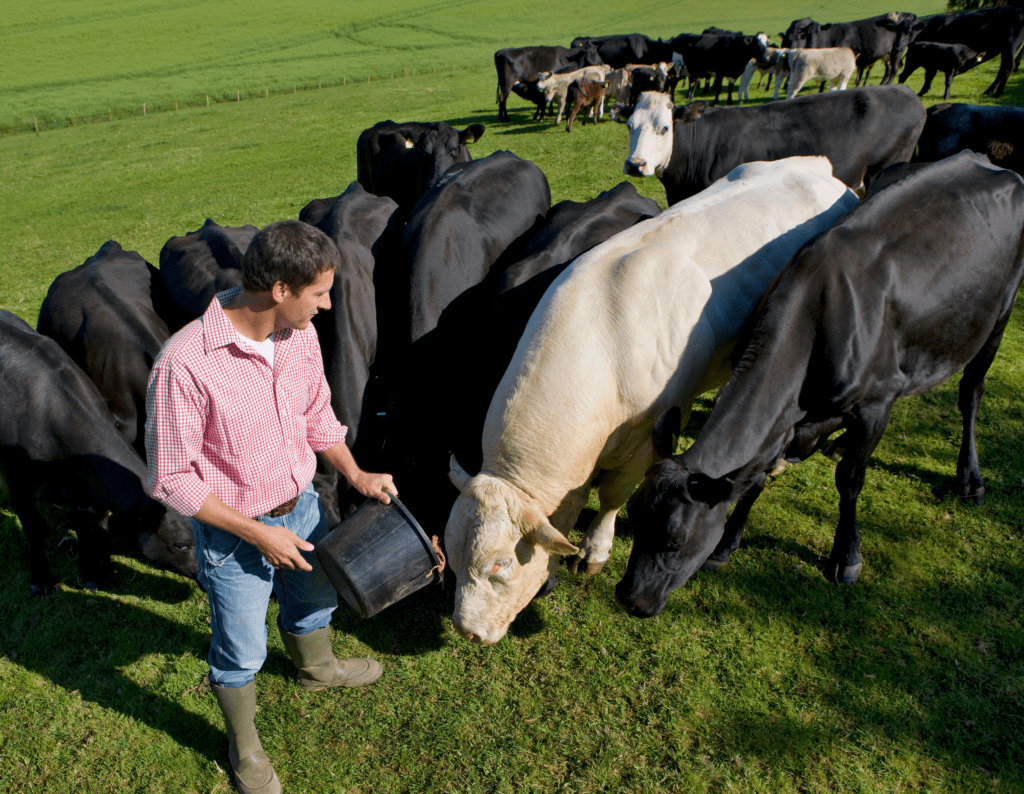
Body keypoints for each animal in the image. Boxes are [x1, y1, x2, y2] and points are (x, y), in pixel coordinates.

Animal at [0, 307, 197, 594]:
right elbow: (32, 528)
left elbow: (89, 525)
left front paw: (93, 572)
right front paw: (42, 578)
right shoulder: (17, 485)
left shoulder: (88, 493)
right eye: (182, 545)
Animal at [444, 155, 860, 647]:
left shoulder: (646, 441)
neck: (601, 345)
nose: (466, 629)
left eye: (501, 564)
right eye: (450, 554)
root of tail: (813, 165)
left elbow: (612, 496)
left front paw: (594, 550)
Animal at [614, 152, 1024, 618]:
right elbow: (756, 476)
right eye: (634, 515)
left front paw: (846, 557)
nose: (630, 598)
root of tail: (983, 159)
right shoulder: (787, 416)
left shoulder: (875, 402)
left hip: (1000, 312)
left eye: (675, 540)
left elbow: (851, 482)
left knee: (971, 393)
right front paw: (727, 545)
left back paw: (969, 478)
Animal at [778, 12, 925, 84]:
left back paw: (887, 84)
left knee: (895, 68)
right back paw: (882, 84)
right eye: (805, 35)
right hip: (888, 54)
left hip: (898, 50)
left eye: (819, 33)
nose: (811, 45)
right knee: (889, 68)